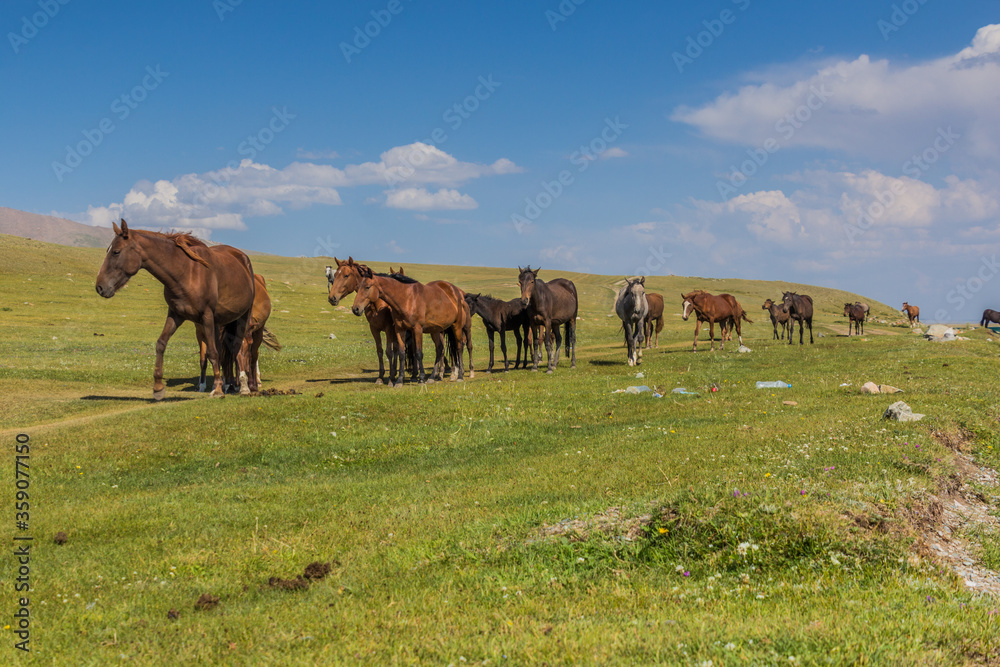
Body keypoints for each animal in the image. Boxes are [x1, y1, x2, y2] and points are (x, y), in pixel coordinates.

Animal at [95, 219, 255, 399]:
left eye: (116, 252)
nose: (100, 287)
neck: (186, 272)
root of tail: (242, 258)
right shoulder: (176, 315)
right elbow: (161, 344)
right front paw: (158, 387)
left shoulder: (206, 316)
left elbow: (213, 353)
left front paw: (219, 390)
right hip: (218, 322)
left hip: (242, 317)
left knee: (239, 347)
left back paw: (243, 387)